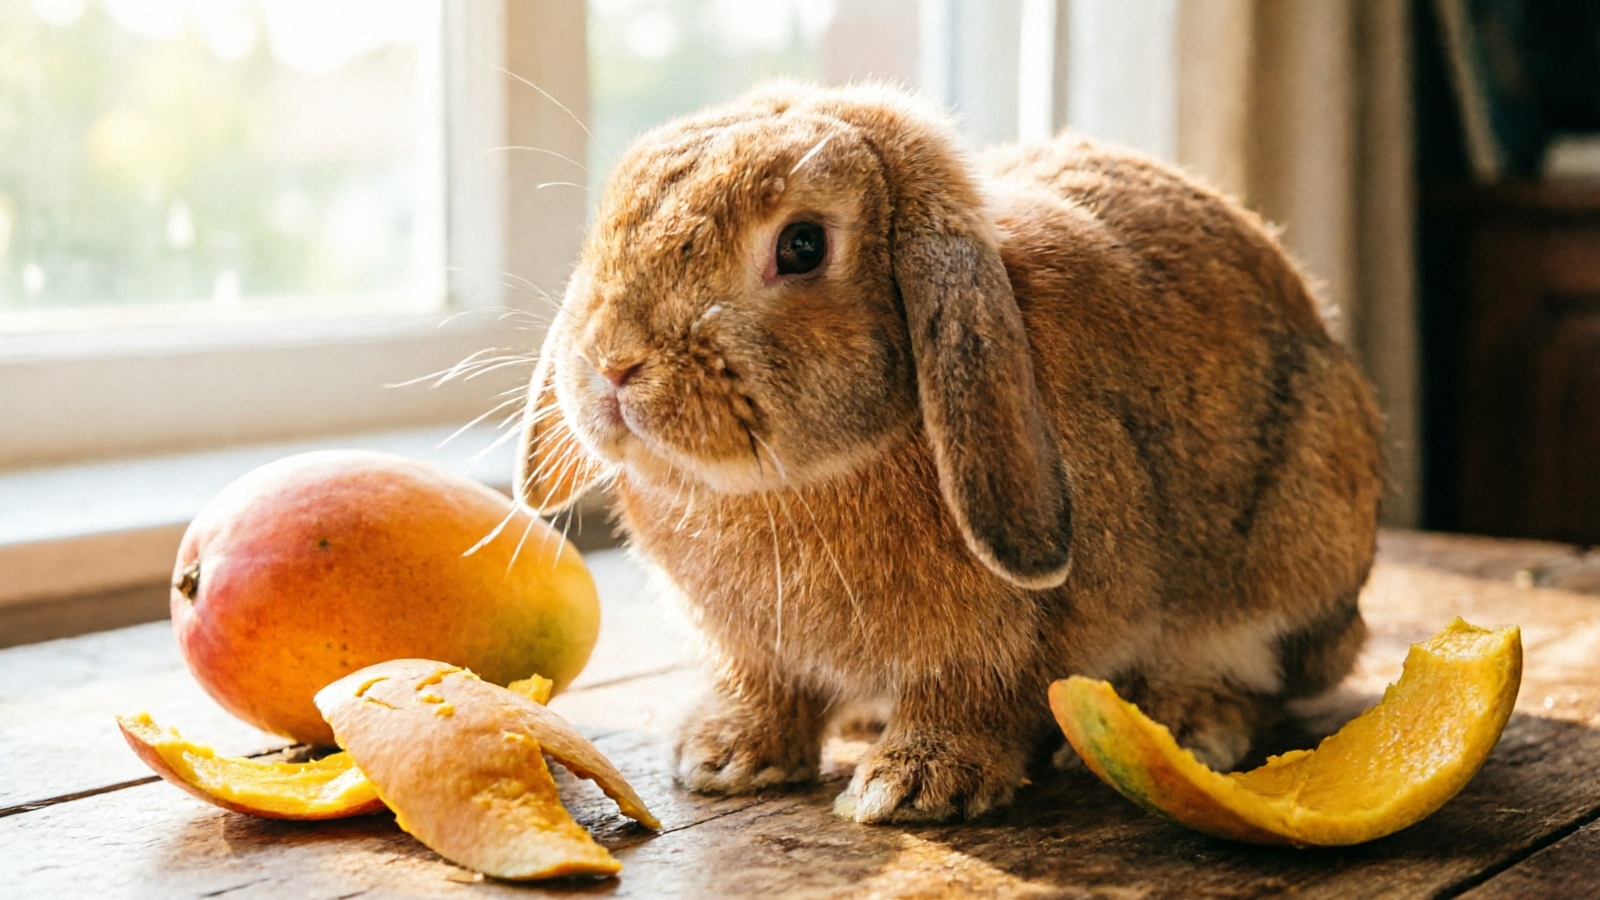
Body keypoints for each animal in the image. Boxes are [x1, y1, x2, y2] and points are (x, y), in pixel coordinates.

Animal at [515, 80, 1382, 824]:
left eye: (802, 245)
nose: (614, 361)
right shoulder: (755, 651)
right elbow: (767, 690)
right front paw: (724, 757)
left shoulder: (992, 648)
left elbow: (968, 698)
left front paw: (915, 785)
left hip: (1290, 544)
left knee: (1251, 670)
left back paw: (1187, 719)